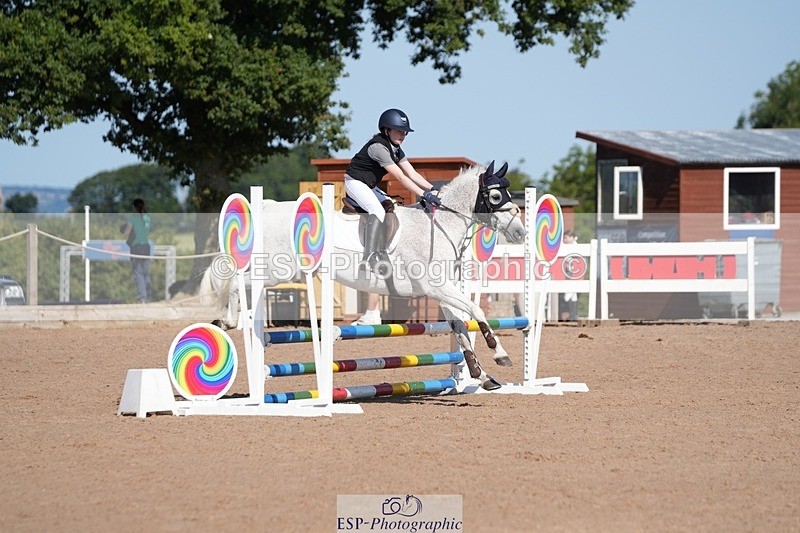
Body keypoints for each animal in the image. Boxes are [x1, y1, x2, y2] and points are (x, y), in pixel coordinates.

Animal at [202, 161, 527, 390]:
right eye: (495, 195)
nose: (521, 232)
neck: (439, 226)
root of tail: (266, 207)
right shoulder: (436, 287)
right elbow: (476, 311)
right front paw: (500, 355)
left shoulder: (442, 291)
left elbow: (460, 330)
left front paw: (481, 376)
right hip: (277, 270)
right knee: (236, 279)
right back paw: (227, 320)